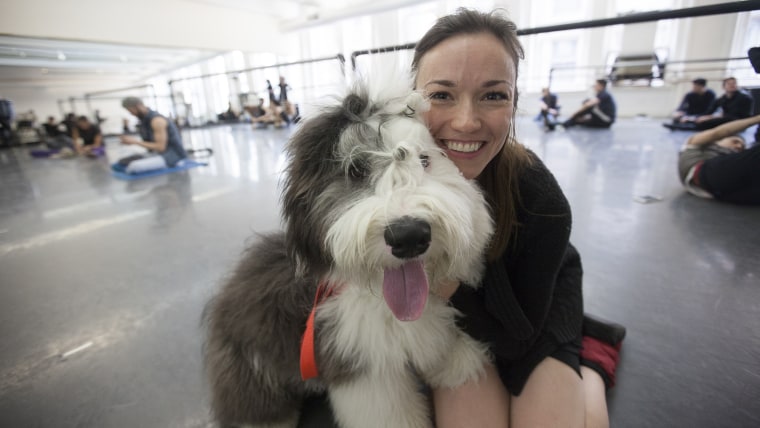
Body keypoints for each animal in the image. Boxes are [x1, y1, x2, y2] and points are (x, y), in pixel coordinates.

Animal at [203, 68, 492, 426]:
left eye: (425, 160)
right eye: (356, 170)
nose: (409, 236)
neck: (381, 299)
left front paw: (457, 360)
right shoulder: (364, 368)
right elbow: (390, 412)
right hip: (251, 373)